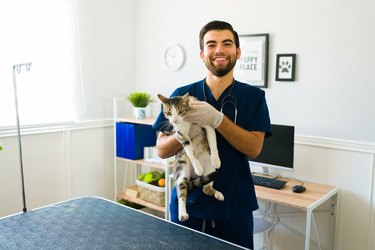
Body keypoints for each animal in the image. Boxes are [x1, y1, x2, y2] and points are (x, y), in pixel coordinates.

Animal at [158, 93, 225, 222]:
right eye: (168, 112)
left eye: (180, 111)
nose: (175, 120)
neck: (185, 121)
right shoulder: (181, 135)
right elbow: (189, 150)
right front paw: (198, 167)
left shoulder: (207, 123)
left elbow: (213, 142)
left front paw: (216, 159)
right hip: (181, 170)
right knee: (181, 192)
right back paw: (182, 213)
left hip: (210, 169)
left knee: (205, 188)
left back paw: (218, 194)